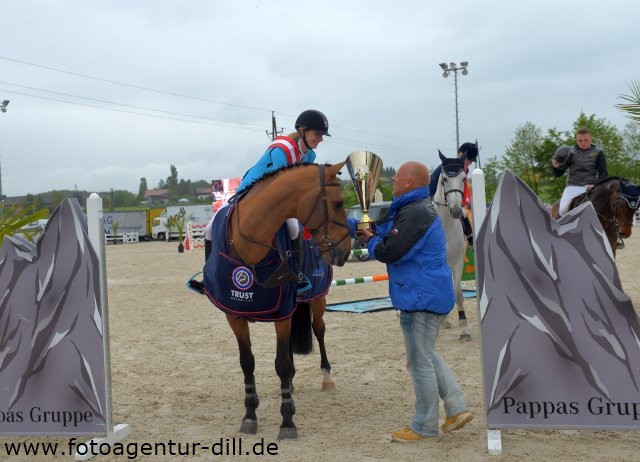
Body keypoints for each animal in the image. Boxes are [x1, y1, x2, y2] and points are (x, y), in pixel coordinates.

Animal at [206, 162, 350, 440]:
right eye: (338, 203)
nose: (347, 250)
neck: (249, 245)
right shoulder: (234, 315)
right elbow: (247, 363)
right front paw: (250, 415)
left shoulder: (281, 314)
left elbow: (281, 363)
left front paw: (287, 422)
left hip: (318, 299)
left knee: (319, 330)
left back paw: (326, 377)